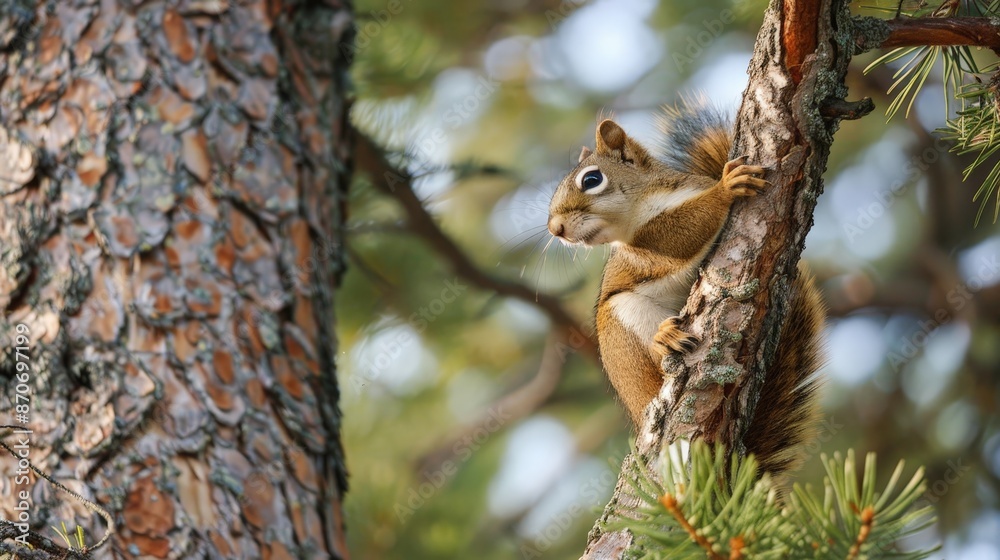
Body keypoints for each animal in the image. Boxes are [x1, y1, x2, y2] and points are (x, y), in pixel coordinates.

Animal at [548, 100, 820, 476]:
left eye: (592, 179)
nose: (554, 229)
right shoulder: (646, 250)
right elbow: (679, 236)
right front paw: (726, 187)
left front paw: (724, 185)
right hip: (622, 321)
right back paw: (664, 340)